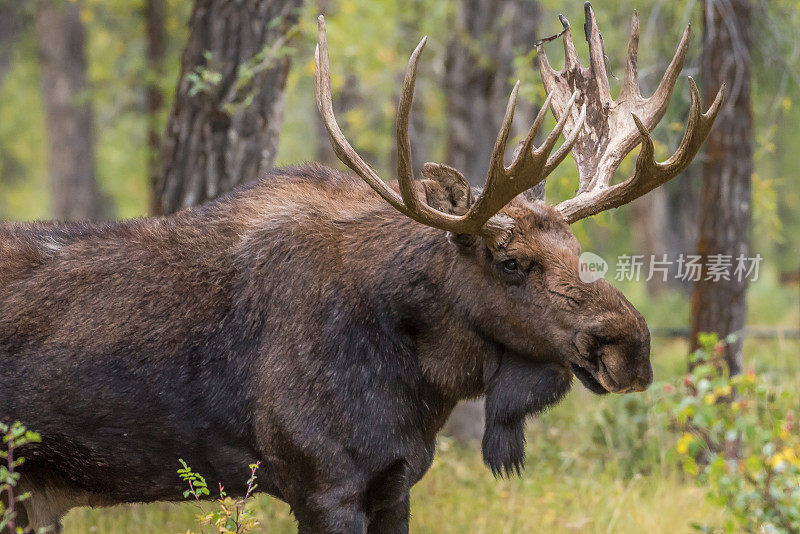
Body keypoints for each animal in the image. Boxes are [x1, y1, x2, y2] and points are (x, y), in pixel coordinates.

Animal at [1, 5, 724, 534]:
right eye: (511, 261)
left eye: (578, 252)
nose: (631, 348)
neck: (419, 374)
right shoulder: (324, 484)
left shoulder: (394, 482)